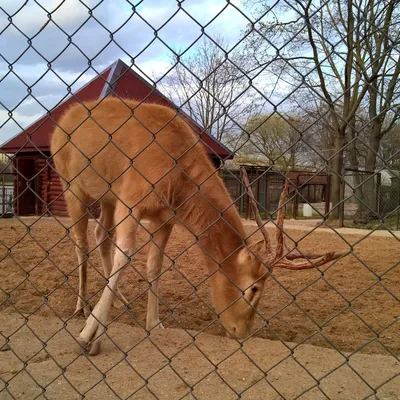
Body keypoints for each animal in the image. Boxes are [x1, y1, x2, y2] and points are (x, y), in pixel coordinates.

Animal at [49, 97, 344, 356]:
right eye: (254, 288)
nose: (241, 332)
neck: (177, 181)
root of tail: (62, 120)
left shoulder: (162, 218)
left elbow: (154, 266)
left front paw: (154, 324)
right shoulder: (131, 200)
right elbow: (126, 256)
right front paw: (90, 337)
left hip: (107, 198)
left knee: (101, 234)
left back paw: (120, 299)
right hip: (71, 185)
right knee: (81, 242)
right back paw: (82, 307)